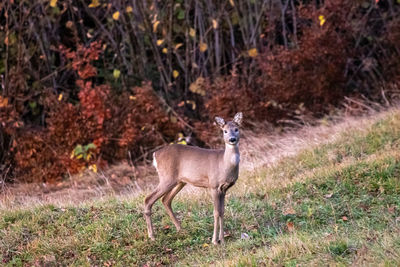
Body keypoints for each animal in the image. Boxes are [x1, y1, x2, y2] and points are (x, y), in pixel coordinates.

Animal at [145, 112, 244, 246]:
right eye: (225, 131)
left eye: (236, 129)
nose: (232, 139)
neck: (224, 164)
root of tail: (155, 155)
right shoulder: (213, 185)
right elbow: (216, 212)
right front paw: (214, 241)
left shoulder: (224, 189)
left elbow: (222, 211)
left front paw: (222, 240)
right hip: (167, 178)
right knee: (148, 199)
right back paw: (152, 236)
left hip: (179, 181)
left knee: (166, 200)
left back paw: (180, 229)